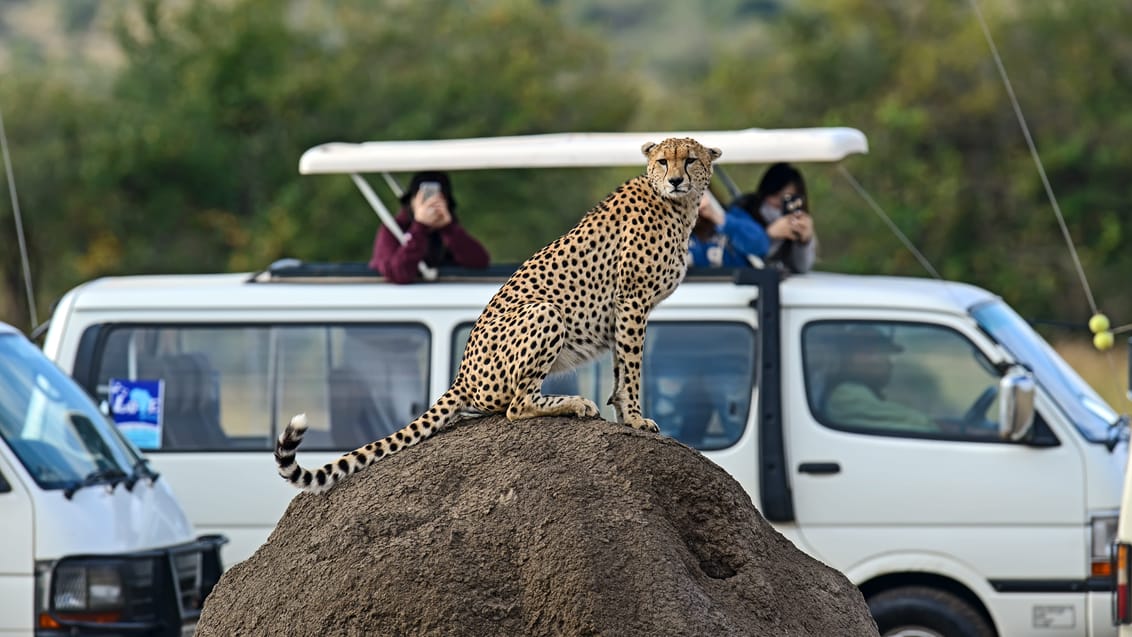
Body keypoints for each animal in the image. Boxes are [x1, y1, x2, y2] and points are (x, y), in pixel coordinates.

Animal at [275, 136, 719, 493]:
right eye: (663, 161)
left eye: (689, 160)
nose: (675, 180)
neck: (676, 205)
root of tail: (461, 374)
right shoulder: (631, 302)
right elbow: (632, 370)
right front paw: (637, 421)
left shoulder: (624, 311)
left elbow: (620, 372)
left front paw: (627, 417)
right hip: (546, 311)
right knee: (514, 406)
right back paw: (575, 403)